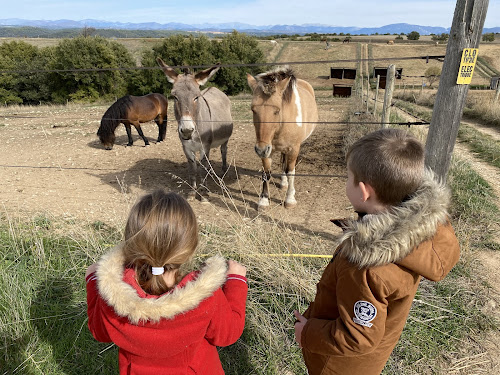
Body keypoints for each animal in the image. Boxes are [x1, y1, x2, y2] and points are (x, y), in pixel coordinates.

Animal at [157, 57, 233, 201]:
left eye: (196, 97)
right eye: (174, 97)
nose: (187, 131)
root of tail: (214, 88)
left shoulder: (205, 146)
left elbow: (203, 168)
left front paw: (204, 193)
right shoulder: (186, 147)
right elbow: (192, 168)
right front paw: (192, 192)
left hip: (225, 139)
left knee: (223, 151)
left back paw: (223, 172)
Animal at [248, 66, 318, 210]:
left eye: (277, 110)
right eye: (253, 110)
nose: (260, 149)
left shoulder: (293, 149)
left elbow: (290, 171)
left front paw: (290, 199)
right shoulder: (268, 150)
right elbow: (266, 173)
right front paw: (263, 200)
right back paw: (283, 182)